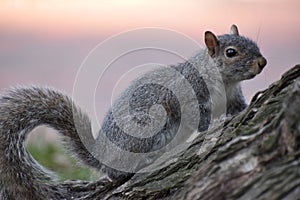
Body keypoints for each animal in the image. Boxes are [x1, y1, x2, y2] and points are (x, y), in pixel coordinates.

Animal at [0, 24, 268, 198]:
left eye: (255, 44)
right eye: (231, 52)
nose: (262, 62)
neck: (224, 82)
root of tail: (100, 154)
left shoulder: (232, 96)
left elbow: (238, 106)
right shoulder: (187, 96)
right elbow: (197, 118)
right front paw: (214, 124)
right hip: (145, 128)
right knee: (117, 174)